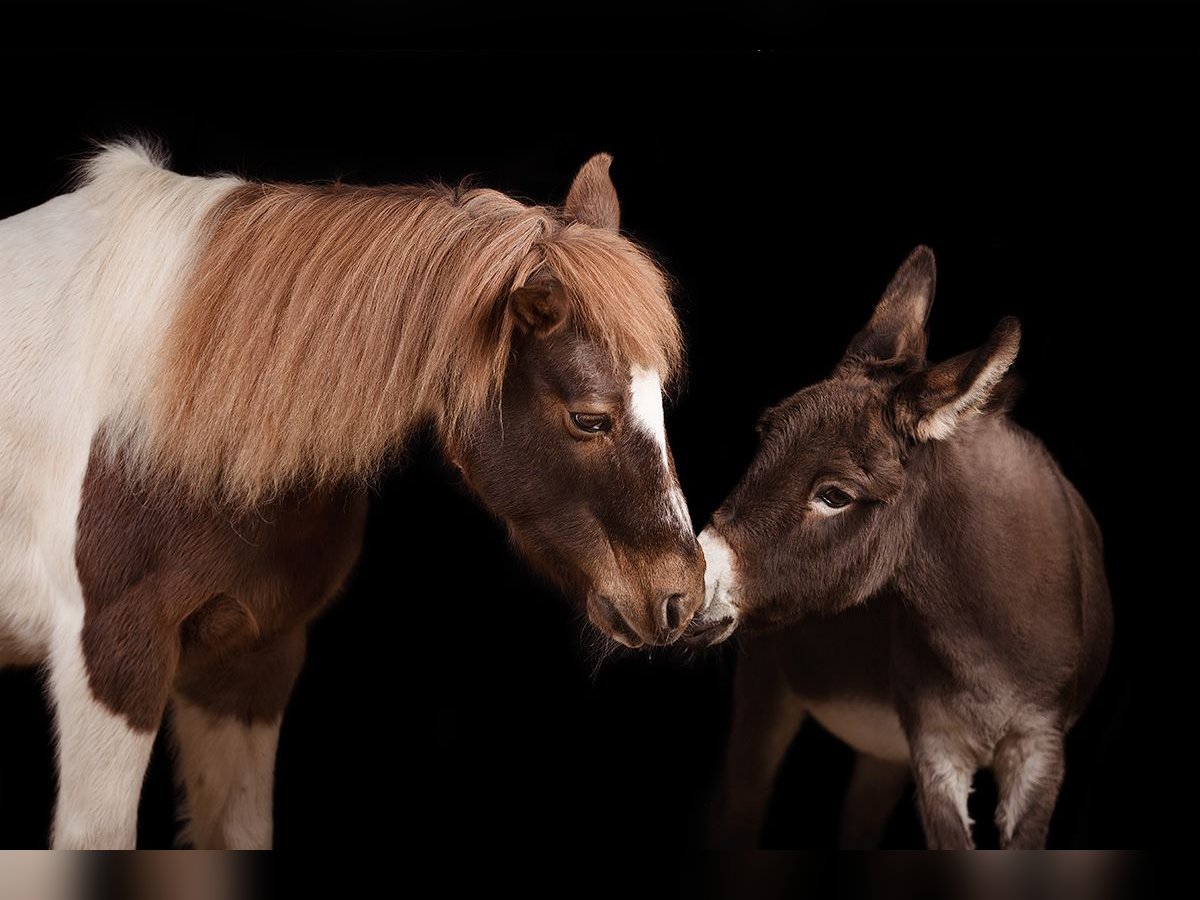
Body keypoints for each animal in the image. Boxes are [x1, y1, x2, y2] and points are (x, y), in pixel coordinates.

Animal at [691, 248, 1108, 854]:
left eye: (834, 496)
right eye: (762, 441)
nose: (684, 583)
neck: (989, 636)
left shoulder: (1040, 750)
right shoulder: (935, 746)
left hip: (883, 750)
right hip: (769, 685)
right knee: (739, 812)